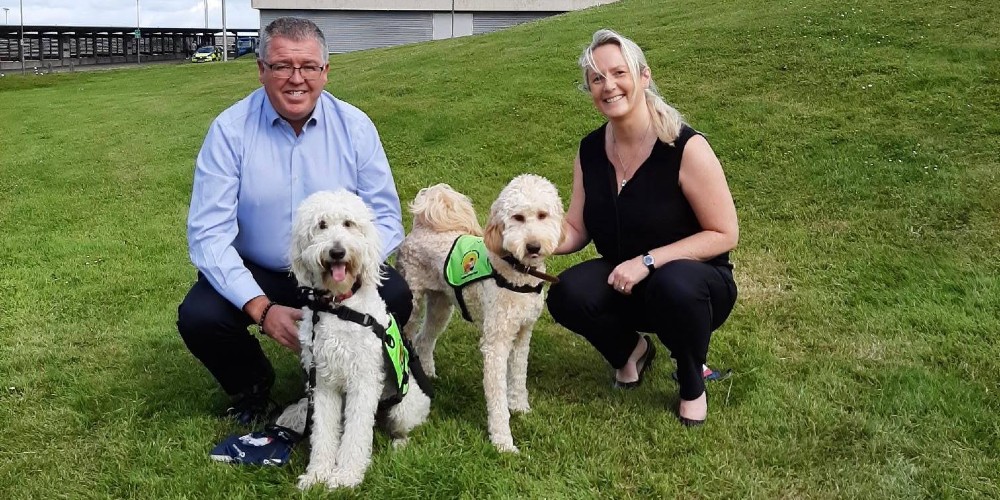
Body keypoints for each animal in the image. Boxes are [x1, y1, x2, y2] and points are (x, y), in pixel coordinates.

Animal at [290, 189, 430, 490]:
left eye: (348, 223)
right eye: (321, 225)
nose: (337, 252)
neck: (339, 305)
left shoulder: (363, 381)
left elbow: (355, 433)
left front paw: (345, 476)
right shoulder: (323, 383)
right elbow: (323, 431)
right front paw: (317, 473)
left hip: (403, 407)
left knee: (405, 428)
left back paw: (400, 444)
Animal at [400, 173, 572, 454]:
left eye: (543, 215)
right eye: (517, 217)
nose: (533, 246)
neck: (516, 272)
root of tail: (420, 228)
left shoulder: (523, 333)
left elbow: (518, 375)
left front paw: (520, 407)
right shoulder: (495, 343)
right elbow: (497, 396)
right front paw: (503, 441)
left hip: (441, 305)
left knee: (424, 340)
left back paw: (430, 374)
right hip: (412, 303)